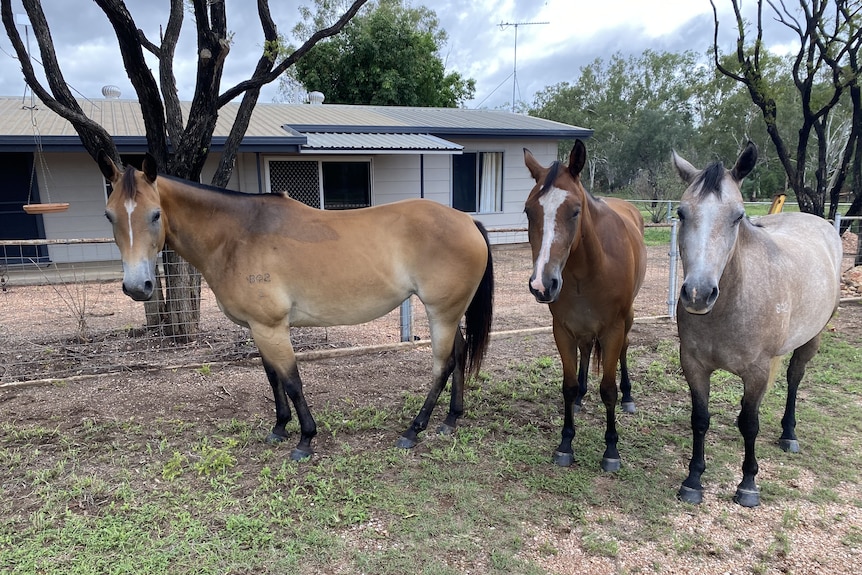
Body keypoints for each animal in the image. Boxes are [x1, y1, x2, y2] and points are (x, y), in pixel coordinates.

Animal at [97, 150, 494, 461]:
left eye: (155, 215)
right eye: (109, 216)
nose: (137, 287)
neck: (238, 235)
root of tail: (466, 220)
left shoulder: (273, 327)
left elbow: (291, 380)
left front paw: (305, 439)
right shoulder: (258, 328)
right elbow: (273, 377)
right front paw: (279, 427)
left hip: (441, 313)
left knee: (442, 366)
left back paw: (414, 430)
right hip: (449, 313)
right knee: (459, 353)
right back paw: (450, 420)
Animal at [523, 140, 647, 471]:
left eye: (575, 211)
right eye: (528, 211)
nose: (542, 284)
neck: (590, 268)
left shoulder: (613, 329)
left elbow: (608, 389)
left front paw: (611, 450)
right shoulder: (563, 329)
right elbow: (567, 385)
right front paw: (565, 444)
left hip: (626, 320)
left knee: (624, 350)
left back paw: (629, 397)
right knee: (586, 348)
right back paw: (580, 398)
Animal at [672, 142, 842, 507]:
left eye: (737, 216)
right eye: (680, 213)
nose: (698, 294)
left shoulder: (757, 372)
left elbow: (750, 423)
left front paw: (748, 484)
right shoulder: (693, 364)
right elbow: (700, 419)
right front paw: (693, 479)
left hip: (812, 340)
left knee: (794, 378)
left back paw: (789, 433)